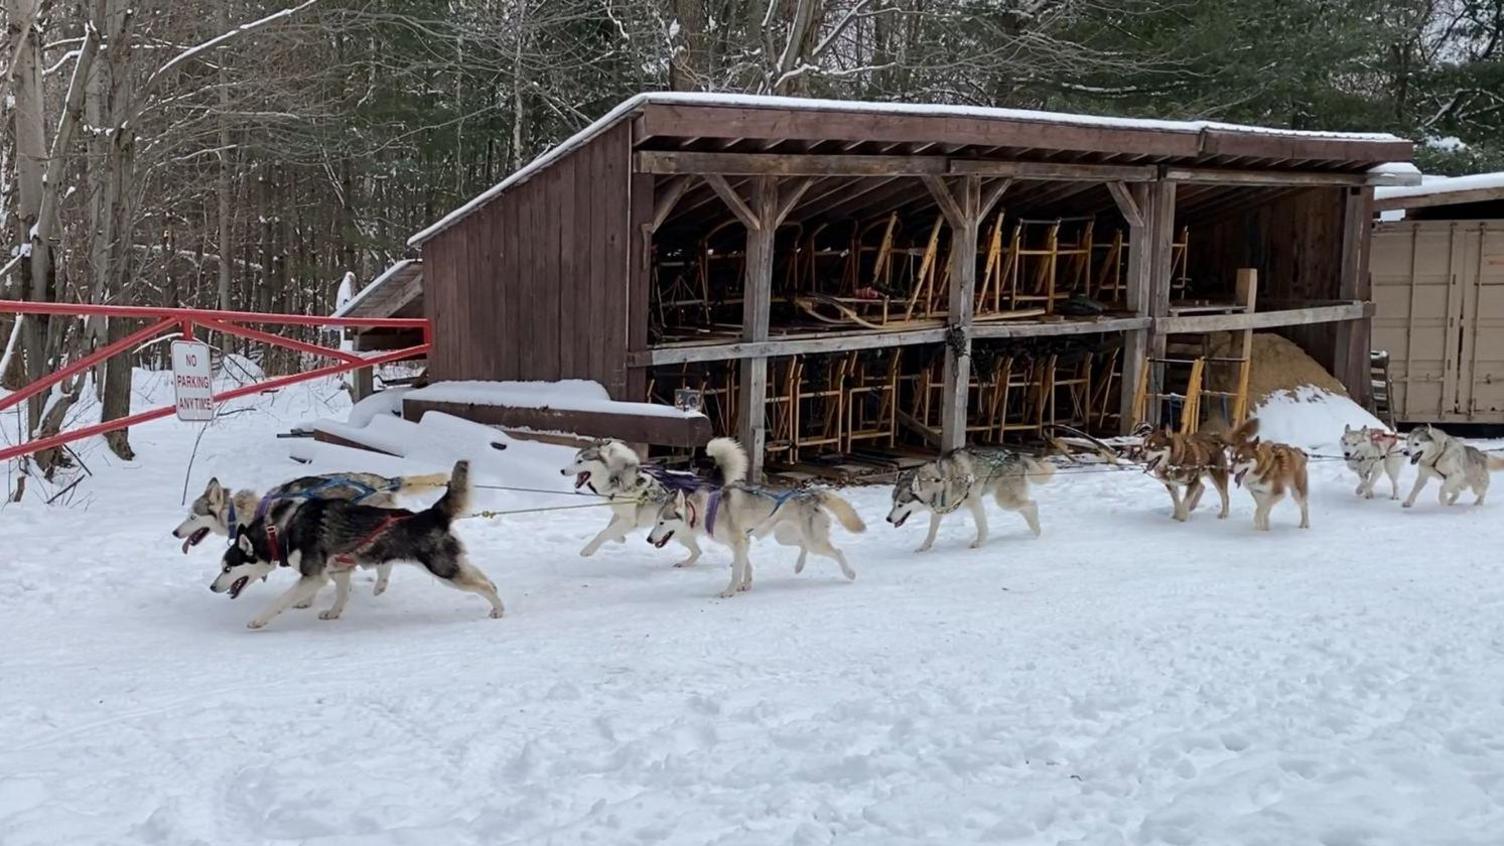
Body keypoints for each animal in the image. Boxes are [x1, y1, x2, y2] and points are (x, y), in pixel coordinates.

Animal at [209, 460, 502, 626]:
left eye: (227, 568)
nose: (212, 587)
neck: (279, 530)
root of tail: (429, 514)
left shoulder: (314, 576)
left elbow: (282, 600)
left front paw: (259, 619)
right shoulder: (338, 569)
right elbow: (341, 594)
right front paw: (333, 613)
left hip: (444, 570)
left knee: (485, 585)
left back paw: (498, 609)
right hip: (449, 565)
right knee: (484, 577)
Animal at [562, 436, 706, 562]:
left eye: (580, 461)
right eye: (575, 459)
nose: (562, 471)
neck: (618, 479)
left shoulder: (629, 520)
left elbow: (603, 533)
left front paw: (588, 550)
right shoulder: (621, 514)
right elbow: (610, 529)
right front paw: (620, 538)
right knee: (698, 552)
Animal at [640, 436, 866, 596]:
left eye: (661, 522)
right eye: (655, 522)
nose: (648, 539)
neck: (705, 510)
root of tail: (811, 494)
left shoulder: (739, 542)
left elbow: (736, 570)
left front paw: (730, 591)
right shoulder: (741, 543)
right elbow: (745, 566)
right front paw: (745, 584)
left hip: (813, 540)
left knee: (836, 551)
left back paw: (850, 573)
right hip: (784, 536)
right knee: (803, 545)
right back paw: (799, 566)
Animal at [884, 445, 1052, 550]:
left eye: (900, 504)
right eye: (892, 503)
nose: (888, 519)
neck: (940, 481)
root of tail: (1016, 454)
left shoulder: (975, 502)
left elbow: (982, 526)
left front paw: (980, 543)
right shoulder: (938, 510)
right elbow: (931, 533)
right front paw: (924, 547)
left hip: (1005, 501)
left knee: (1032, 504)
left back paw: (1037, 531)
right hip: (1009, 499)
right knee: (1026, 508)